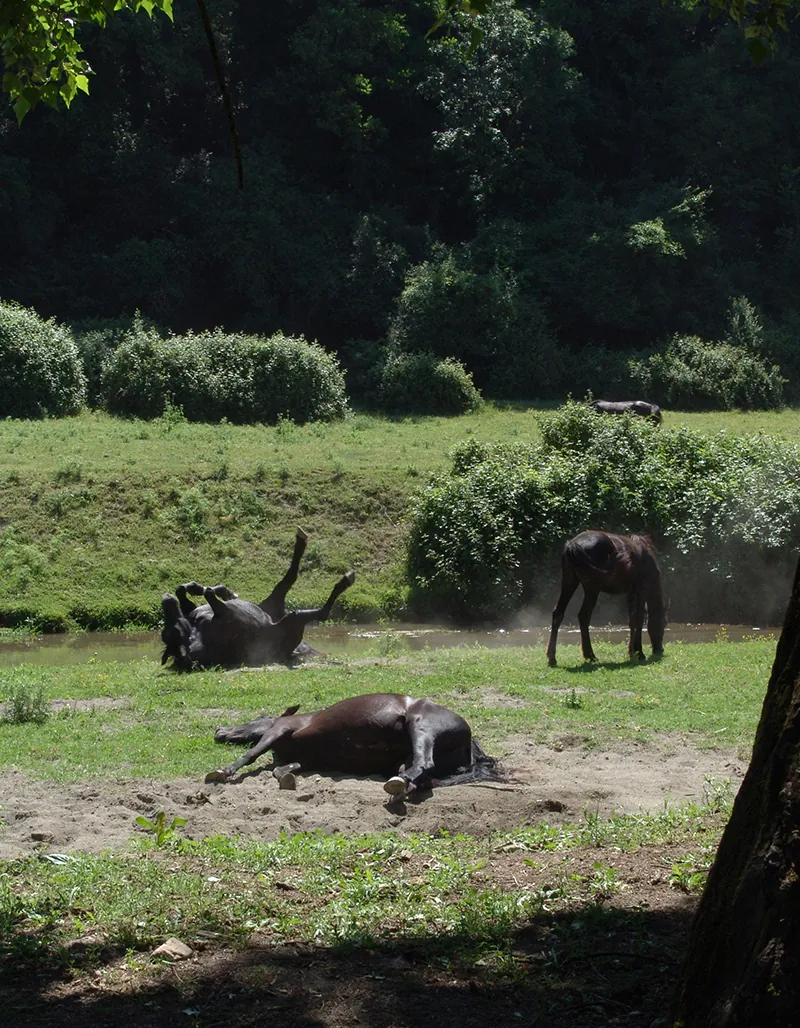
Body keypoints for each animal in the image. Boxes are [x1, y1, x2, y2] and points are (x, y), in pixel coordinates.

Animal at [205, 692, 504, 797]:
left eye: (255, 718)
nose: (219, 731)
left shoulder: (279, 729)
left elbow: (252, 754)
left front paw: (222, 772)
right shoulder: (306, 760)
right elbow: (284, 769)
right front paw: (285, 777)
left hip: (421, 728)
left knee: (423, 763)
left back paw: (397, 785)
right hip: (408, 755)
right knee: (419, 775)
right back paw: (401, 785)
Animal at [546, 530, 667, 666]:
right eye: (664, 623)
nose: (660, 649)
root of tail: (572, 545)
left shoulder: (630, 592)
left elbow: (632, 621)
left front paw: (631, 651)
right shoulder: (642, 591)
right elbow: (639, 620)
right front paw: (639, 653)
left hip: (569, 582)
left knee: (558, 614)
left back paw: (552, 657)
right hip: (592, 589)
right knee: (584, 616)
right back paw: (590, 655)